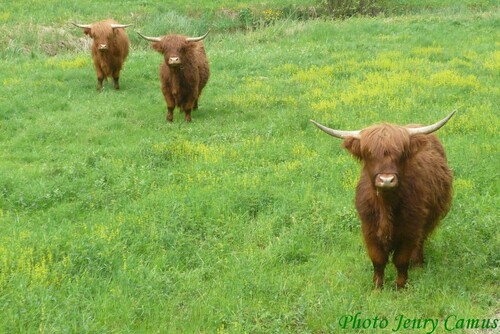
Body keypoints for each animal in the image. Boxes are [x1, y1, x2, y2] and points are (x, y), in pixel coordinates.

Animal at [312, 111, 458, 288]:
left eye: (401, 154)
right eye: (369, 154)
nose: (386, 180)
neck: (386, 205)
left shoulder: (410, 228)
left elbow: (401, 259)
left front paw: (401, 286)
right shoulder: (369, 228)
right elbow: (378, 259)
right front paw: (377, 287)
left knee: (420, 241)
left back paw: (418, 264)